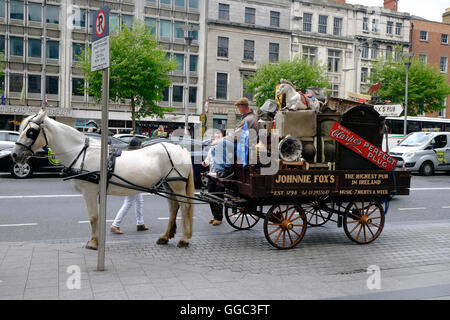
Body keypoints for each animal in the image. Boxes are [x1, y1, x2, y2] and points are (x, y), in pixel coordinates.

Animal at [11, 107, 194, 250]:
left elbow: (93, 217)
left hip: (177, 185)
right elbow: (96, 217)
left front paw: (93, 243)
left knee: (184, 207)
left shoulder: (90, 192)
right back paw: (165, 236)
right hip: (168, 184)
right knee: (174, 207)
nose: (15, 155)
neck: (81, 153)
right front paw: (95, 240)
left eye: (31, 132)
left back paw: (184, 239)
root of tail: (182, 149)